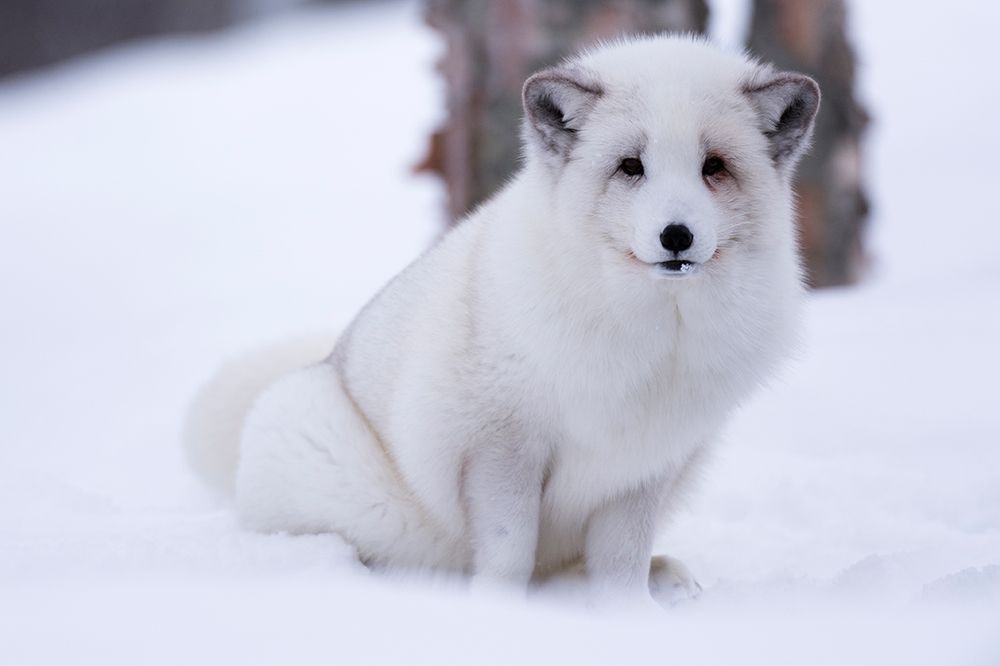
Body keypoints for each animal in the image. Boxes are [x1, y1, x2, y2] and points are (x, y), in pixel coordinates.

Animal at [185, 34, 819, 606]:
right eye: (631, 166)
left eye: (714, 166)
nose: (677, 236)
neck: (654, 336)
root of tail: (322, 361)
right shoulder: (499, 444)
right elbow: (510, 552)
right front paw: (500, 616)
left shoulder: (643, 464)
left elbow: (620, 564)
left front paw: (632, 618)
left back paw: (667, 576)